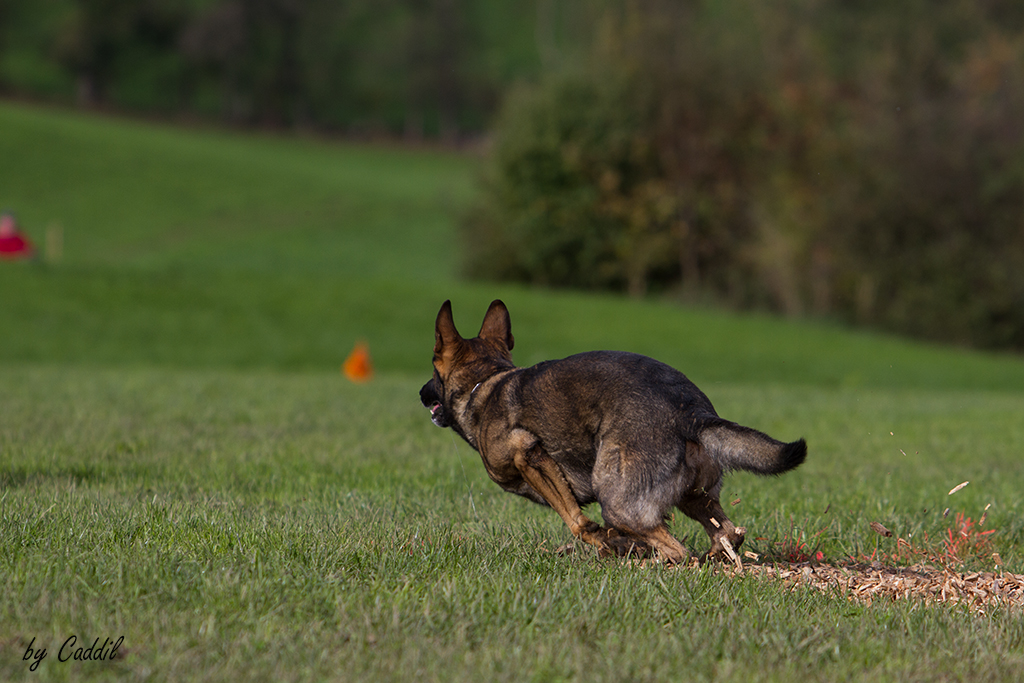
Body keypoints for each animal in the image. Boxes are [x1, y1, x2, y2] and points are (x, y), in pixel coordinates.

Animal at [419, 301, 802, 565]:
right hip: (696, 496)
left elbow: (576, 520)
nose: (422, 393)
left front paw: (609, 543)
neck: (484, 382)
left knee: (677, 550)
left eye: (433, 371)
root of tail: (691, 412)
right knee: (729, 534)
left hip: (616, 498)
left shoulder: (528, 452)